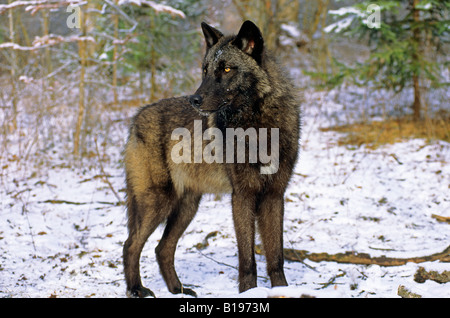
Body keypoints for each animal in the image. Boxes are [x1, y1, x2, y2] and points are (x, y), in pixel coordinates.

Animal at [122, 20, 302, 298]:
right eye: (205, 71)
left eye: (226, 69)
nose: (194, 100)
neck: (259, 126)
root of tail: (136, 119)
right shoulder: (242, 196)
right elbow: (247, 258)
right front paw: (248, 291)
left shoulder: (274, 196)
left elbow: (276, 256)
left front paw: (282, 290)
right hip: (157, 202)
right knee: (130, 245)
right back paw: (136, 289)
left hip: (186, 207)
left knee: (162, 248)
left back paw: (178, 290)